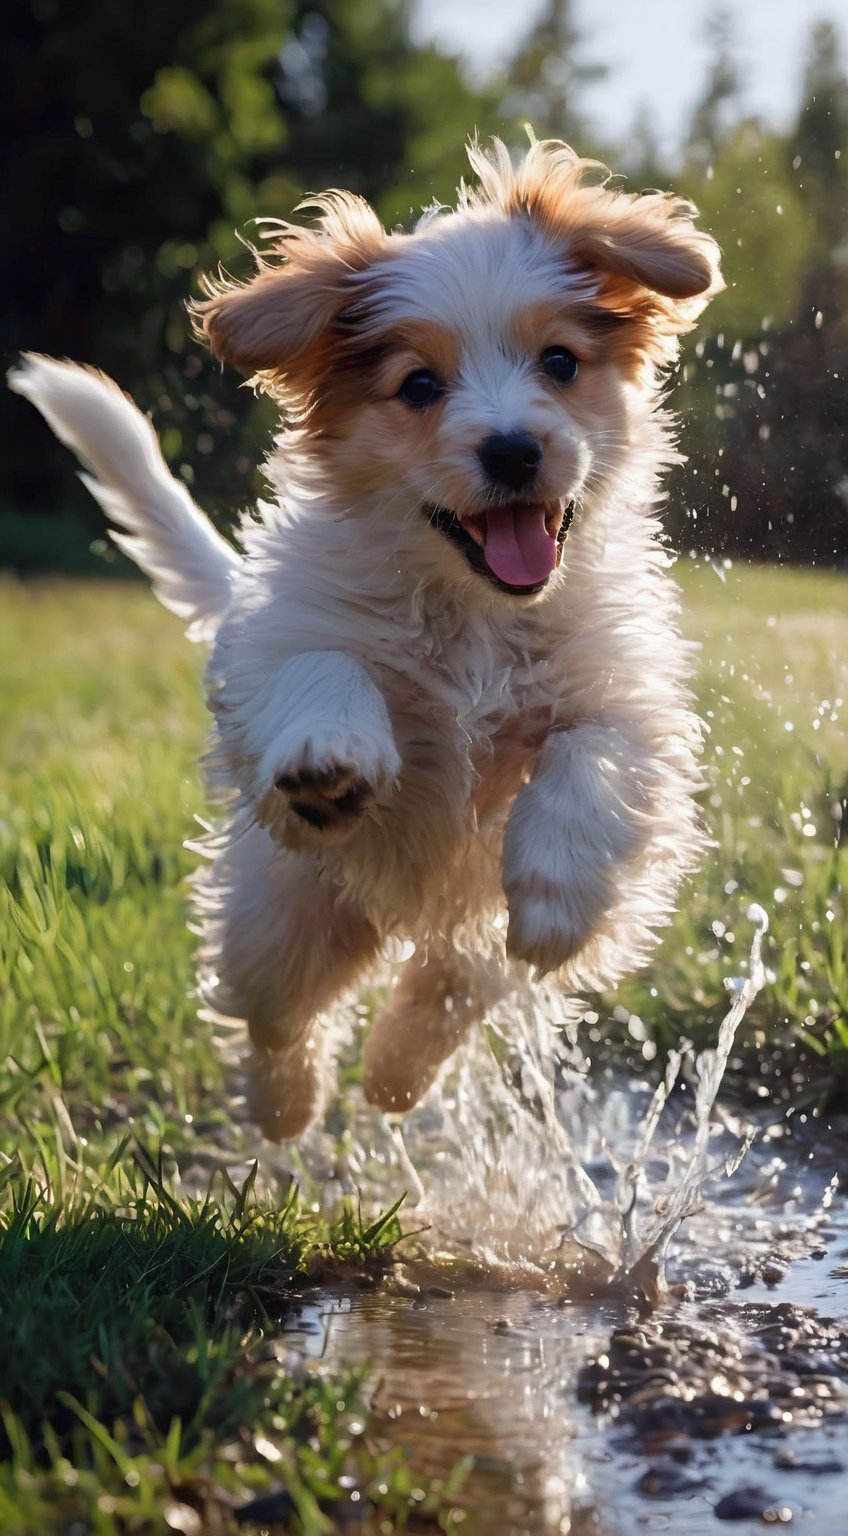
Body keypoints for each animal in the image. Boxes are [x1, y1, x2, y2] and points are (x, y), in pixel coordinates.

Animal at [8, 135, 722, 1142]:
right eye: (418, 385)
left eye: (560, 362)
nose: (513, 449)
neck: (473, 610)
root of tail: (395, 916)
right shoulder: (279, 645)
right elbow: (328, 664)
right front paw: (330, 757)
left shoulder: (626, 690)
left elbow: (595, 756)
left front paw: (556, 890)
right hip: (282, 911)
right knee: (275, 1015)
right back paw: (287, 1106)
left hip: (466, 942)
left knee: (444, 989)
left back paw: (394, 1074)